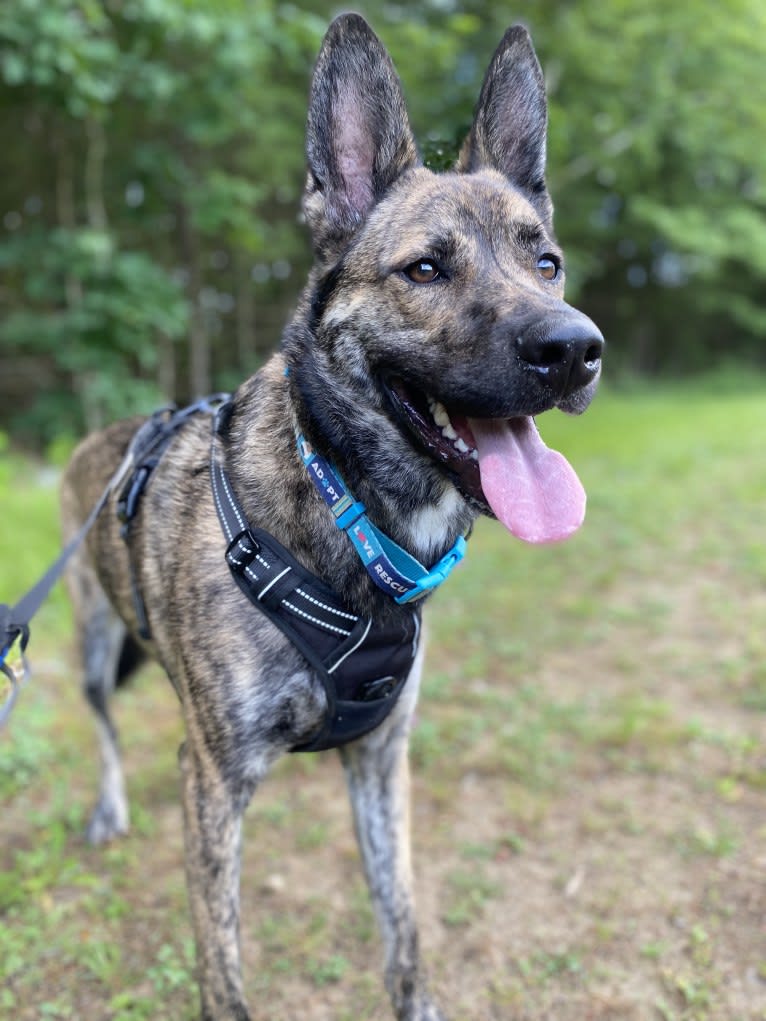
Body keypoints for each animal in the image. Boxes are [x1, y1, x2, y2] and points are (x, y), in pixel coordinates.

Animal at [60, 15, 604, 1021]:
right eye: (424, 269)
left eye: (545, 262)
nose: (576, 349)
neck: (344, 512)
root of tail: (98, 440)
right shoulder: (212, 783)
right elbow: (224, 970)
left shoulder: (381, 765)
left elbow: (403, 924)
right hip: (88, 641)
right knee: (105, 726)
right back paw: (110, 806)